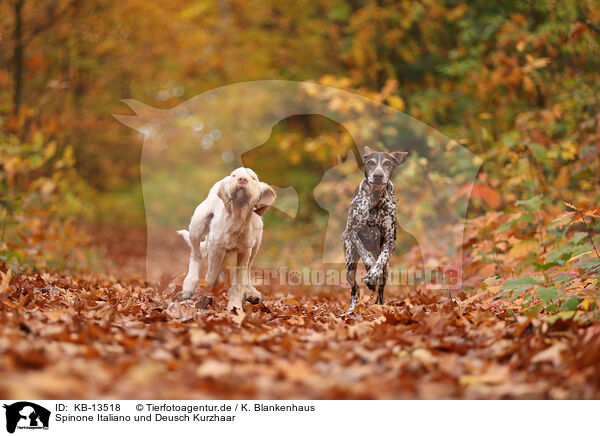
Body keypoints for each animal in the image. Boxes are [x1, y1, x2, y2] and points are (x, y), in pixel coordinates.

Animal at [176, 167, 274, 310]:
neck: (236, 219)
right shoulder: (215, 247)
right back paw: (189, 285)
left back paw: (251, 292)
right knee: (196, 254)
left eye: (253, 178)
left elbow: (239, 280)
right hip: (196, 225)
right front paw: (216, 281)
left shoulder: (245, 252)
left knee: (248, 269)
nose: (242, 179)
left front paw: (235, 307)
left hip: (257, 243)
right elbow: (211, 276)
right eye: (234, 175)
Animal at [342, 146, 408, 314]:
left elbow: (381, 259)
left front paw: (373, 273)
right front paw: (370, 266)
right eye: (370, 162)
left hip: (386, 271)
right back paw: (350, 310)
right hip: (349, 264)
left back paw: (379, 304)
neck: (376, 197)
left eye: (387, 163)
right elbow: (365, 253)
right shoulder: (352, 232)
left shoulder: (391, 242)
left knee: (380, 291)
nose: (378, 175)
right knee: (355, 290)